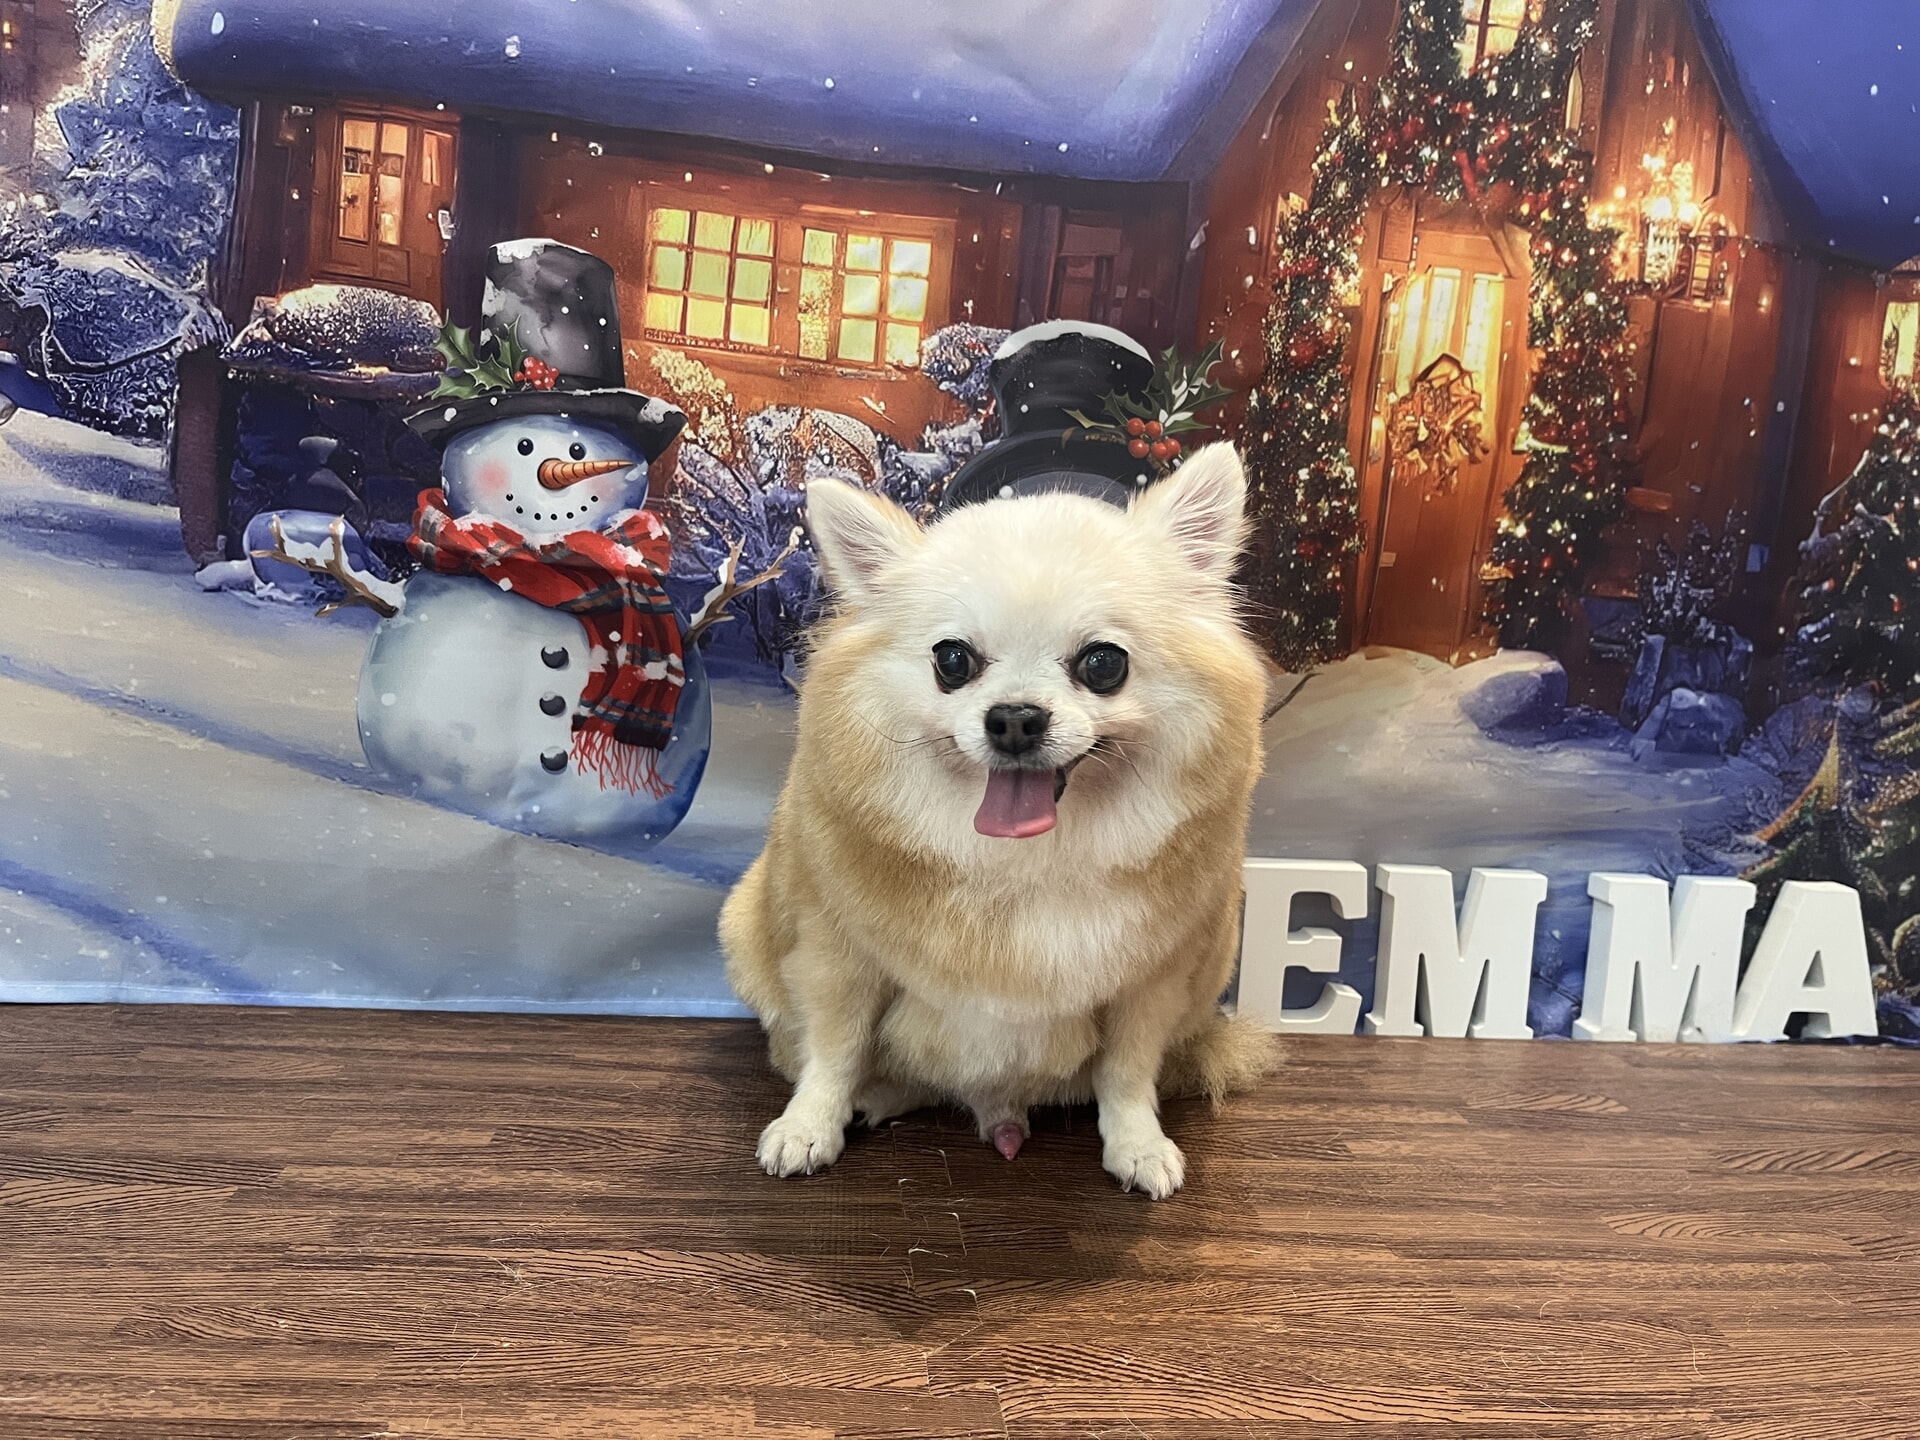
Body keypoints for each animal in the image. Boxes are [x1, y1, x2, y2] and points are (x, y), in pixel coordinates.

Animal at [720, 441, 1276, 1199]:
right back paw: (876, 1097)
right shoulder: (838, 958)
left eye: (1104, 664)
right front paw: (809, 1126)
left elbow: (1128, 1073)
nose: (1014, 717)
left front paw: (1136, 1143)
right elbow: (834, 1051)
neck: (1024, 861)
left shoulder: (1150, 986)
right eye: (952, 660)